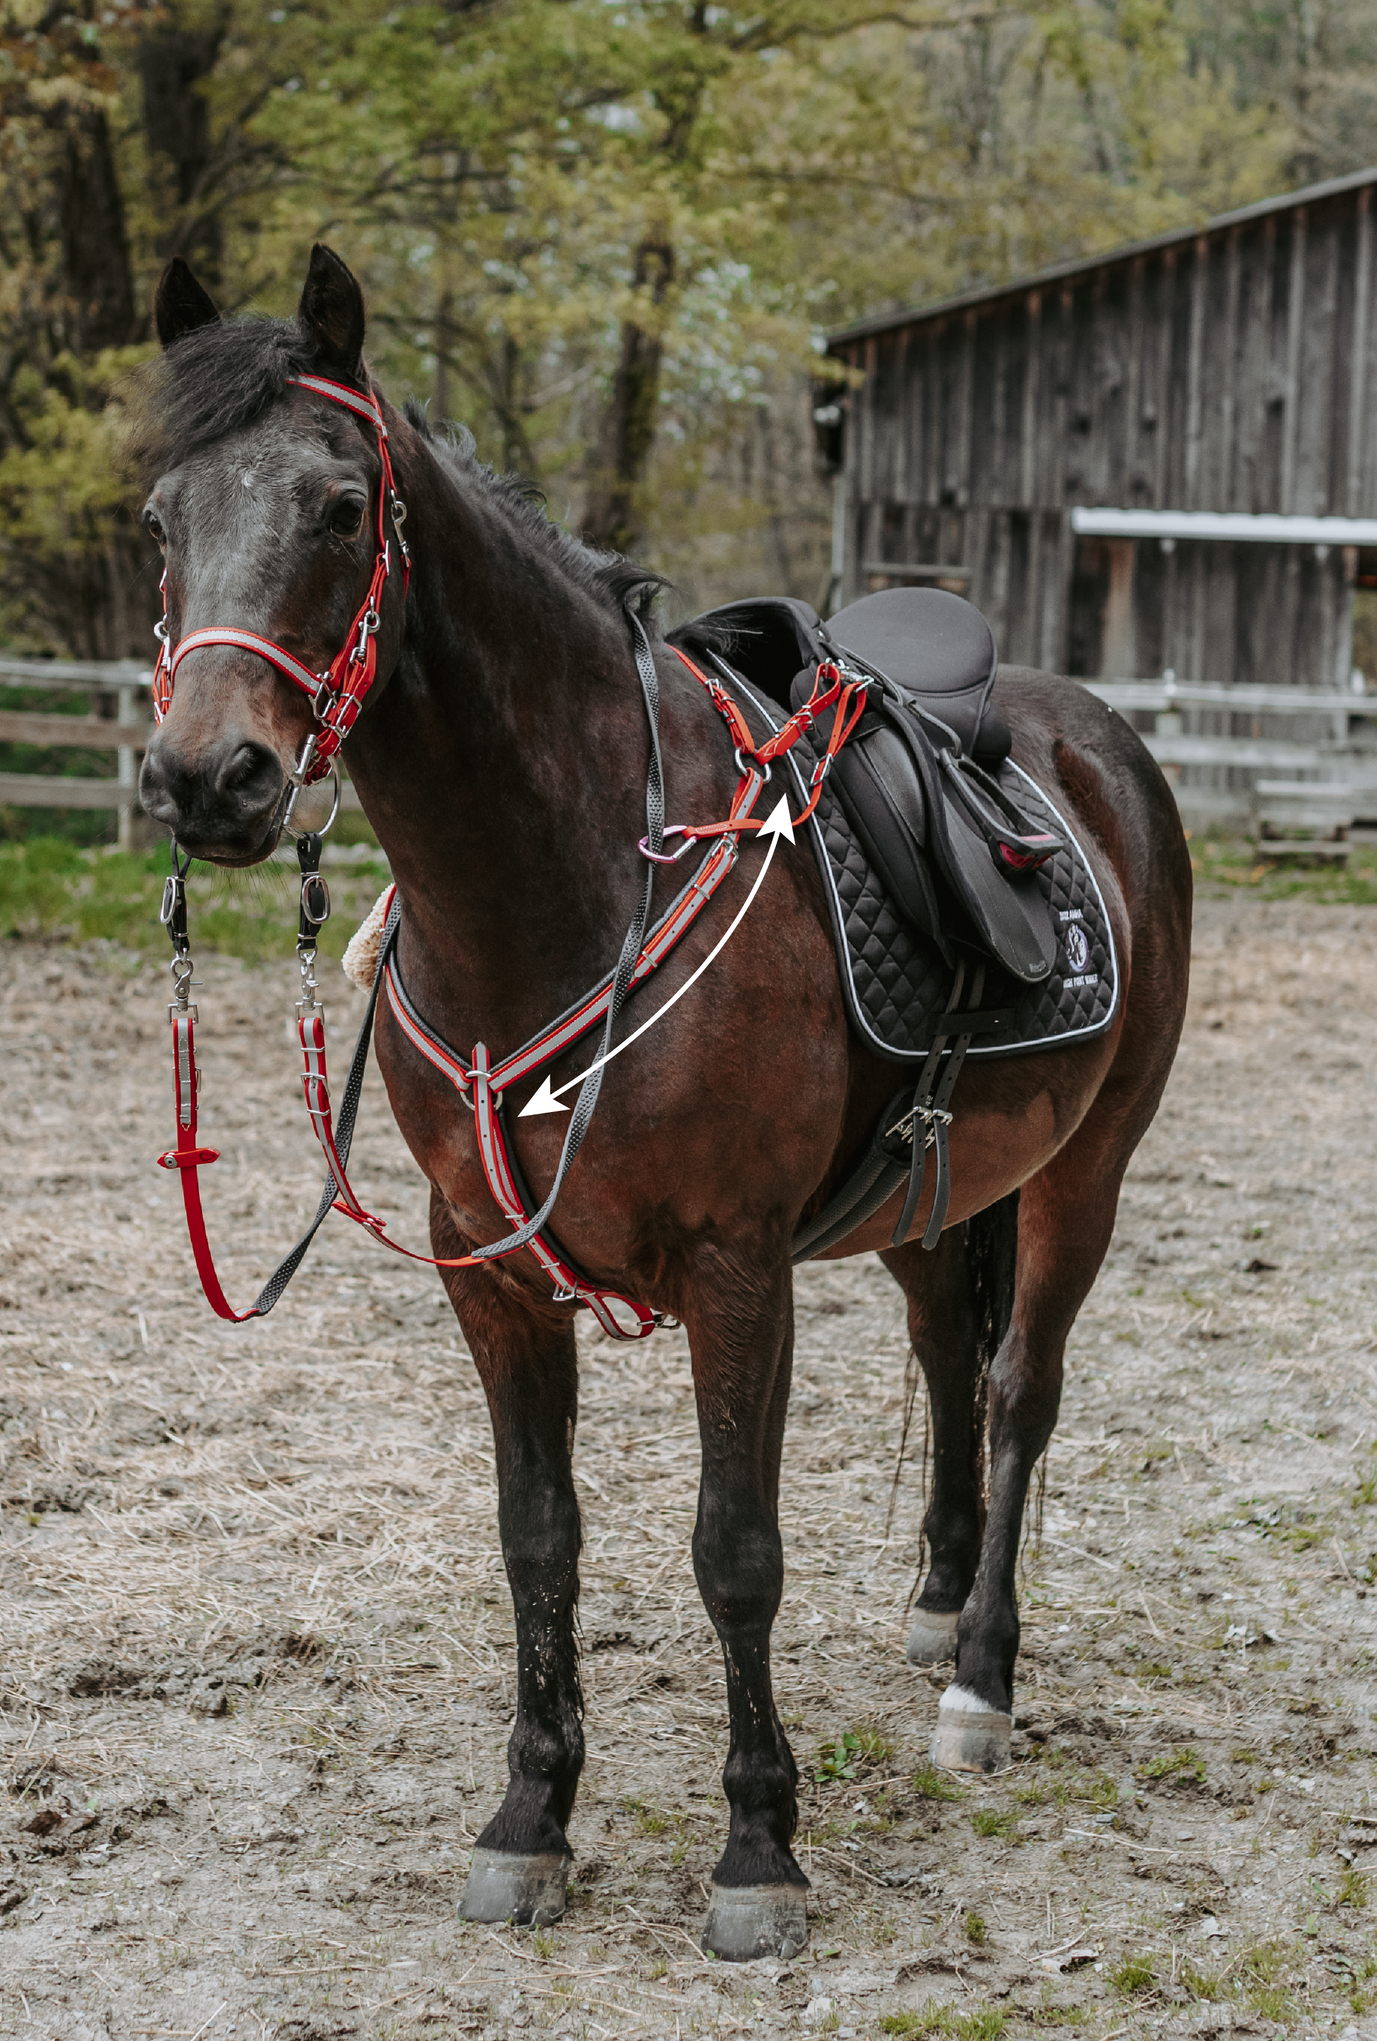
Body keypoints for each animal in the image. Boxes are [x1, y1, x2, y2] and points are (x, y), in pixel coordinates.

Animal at [136, 245, 1192, 1961]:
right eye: (163, 517)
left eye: (341, 507)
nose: (204, 778)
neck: (562, 882)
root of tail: (1095, 738)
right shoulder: (488, 1270)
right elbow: (538, 1540)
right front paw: (528, 1819)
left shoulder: (737, 1265)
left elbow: (733, 1552)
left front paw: (757, 1847)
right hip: (930, 1188)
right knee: (945, 1354)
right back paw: (933, 1601)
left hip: (1083, 1169)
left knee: (1019, 1386)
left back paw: (980, 1676)